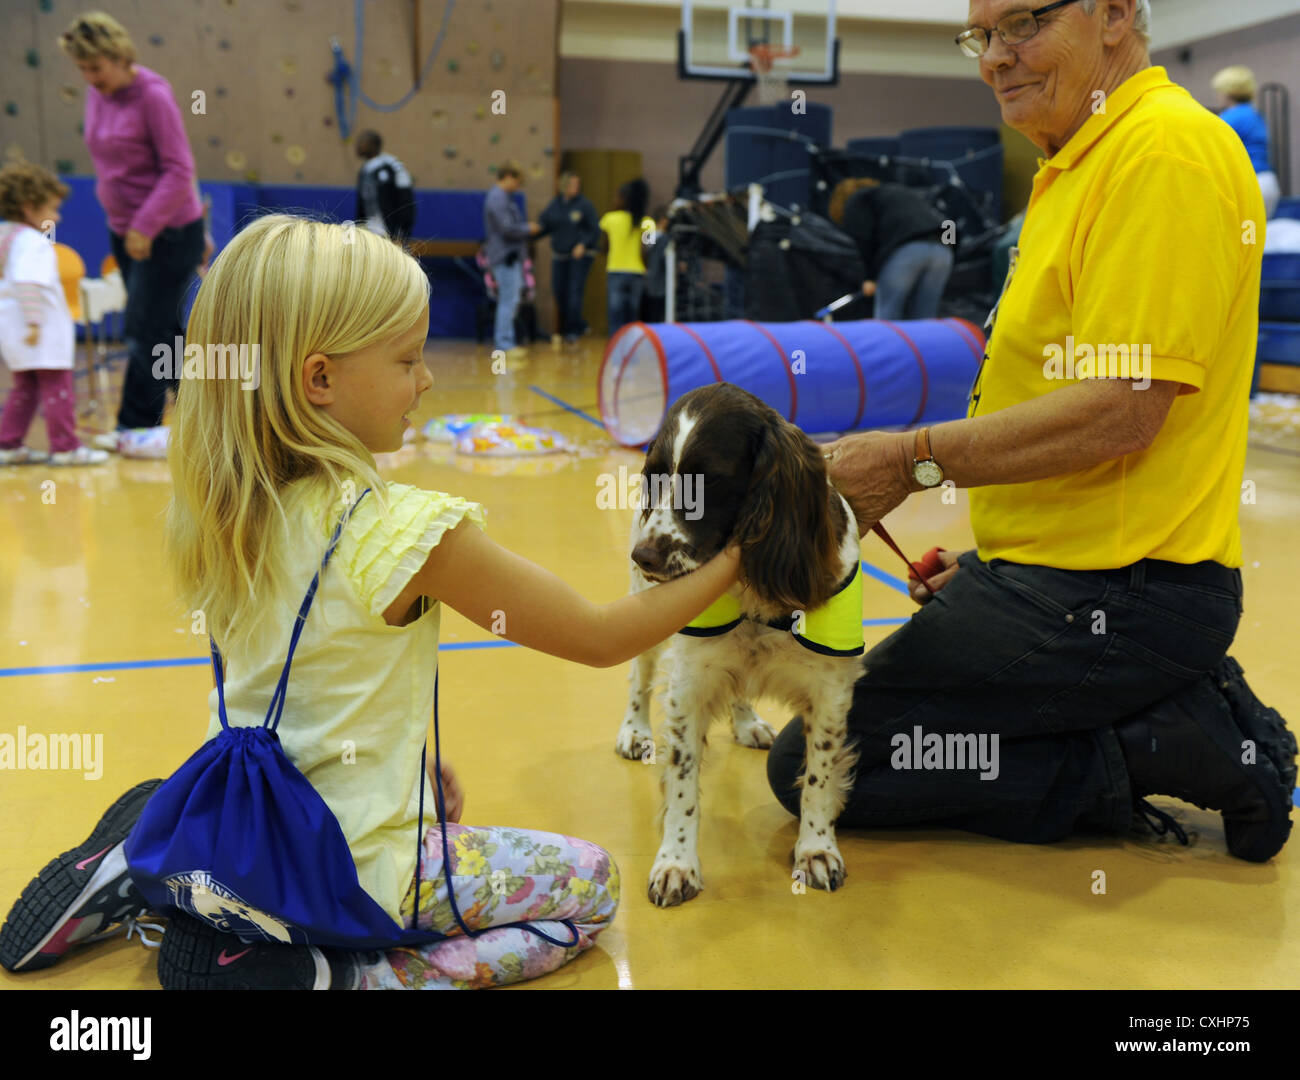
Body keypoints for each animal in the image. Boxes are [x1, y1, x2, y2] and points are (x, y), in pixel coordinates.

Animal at [616, 384, 863, 909]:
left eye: (707, 480)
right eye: (654, 477)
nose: (643, 555)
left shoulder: (831, 692)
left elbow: (819, 775)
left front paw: (816, 849)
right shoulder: (689, 685)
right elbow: (683, 783)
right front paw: (676, 862)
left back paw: (749, 723)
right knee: (639, 677)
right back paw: (634, 730)